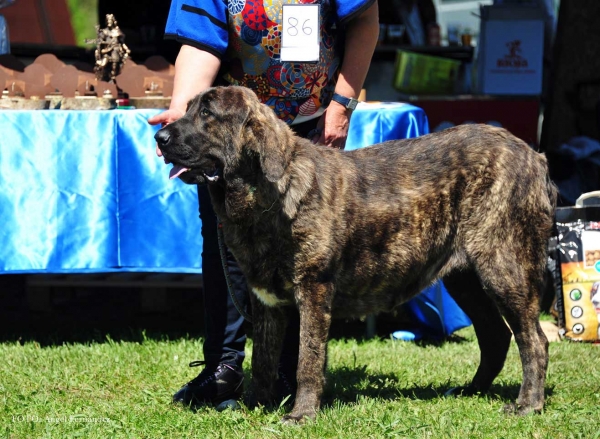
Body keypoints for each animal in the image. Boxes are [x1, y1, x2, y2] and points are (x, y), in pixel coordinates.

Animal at [155, 85, 556, 422]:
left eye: (208, 113)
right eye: (187, 109)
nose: (159, 136)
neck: (267, 194)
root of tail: (535, 155)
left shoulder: (314, 291)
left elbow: (307, 359)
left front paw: (301, 414)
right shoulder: (267, 301)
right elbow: (263, 359)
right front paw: (255, 405)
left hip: (504, 268)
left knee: (533, 340)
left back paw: (528, 404)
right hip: (467, 279)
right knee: (495, 335)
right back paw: (470, 391)